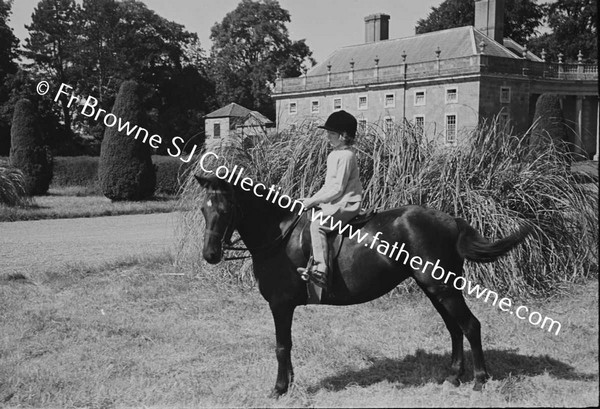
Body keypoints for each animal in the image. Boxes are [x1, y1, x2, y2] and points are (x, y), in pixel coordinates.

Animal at [196, 175, 528, 396]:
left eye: (225, 210)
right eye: (203, 210)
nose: (210, 255)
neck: (279, 235)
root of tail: (450, 220)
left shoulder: (280, 304)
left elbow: (281, 346)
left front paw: (279, 388)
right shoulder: (283, 306)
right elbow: (286, 347)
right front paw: (288, 382)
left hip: (442, 289)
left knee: (470, 326)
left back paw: (480, 379)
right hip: (436, 289)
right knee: (454, 328)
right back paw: (454, 375)